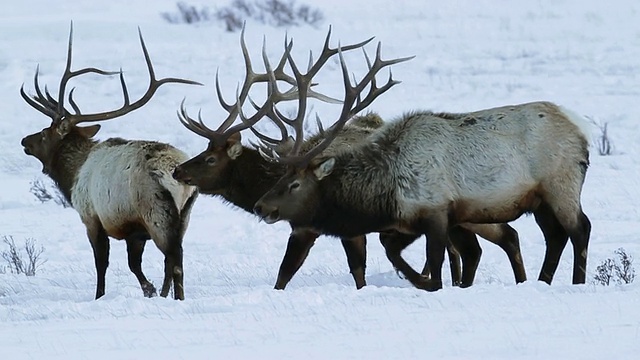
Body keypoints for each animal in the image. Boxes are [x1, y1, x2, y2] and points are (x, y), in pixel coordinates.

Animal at [20, 25, 200, 300]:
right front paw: (151, 291)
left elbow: (102, 263)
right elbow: (134, 264)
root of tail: (175, 172)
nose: (24, 141)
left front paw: (101, 296)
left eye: (42, 133)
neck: (72, 174)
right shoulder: (134, 231)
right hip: (184, 217)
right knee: (173, 260)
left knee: (175, 260)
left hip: (157, 213)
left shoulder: (92, 217)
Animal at [250, 44, 592, 290]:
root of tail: (580, 129)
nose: (260, 206)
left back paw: (577, 283)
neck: (385, 193)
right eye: (280, 177)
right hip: (539, 200)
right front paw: (419, 280)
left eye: (294, 184)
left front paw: (427, 283)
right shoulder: (409, 221)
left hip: (561, 183)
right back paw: (542, 282)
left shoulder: (436, 211)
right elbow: (392, 250)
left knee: (580, 229)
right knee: (555, 236)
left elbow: (435, 264)